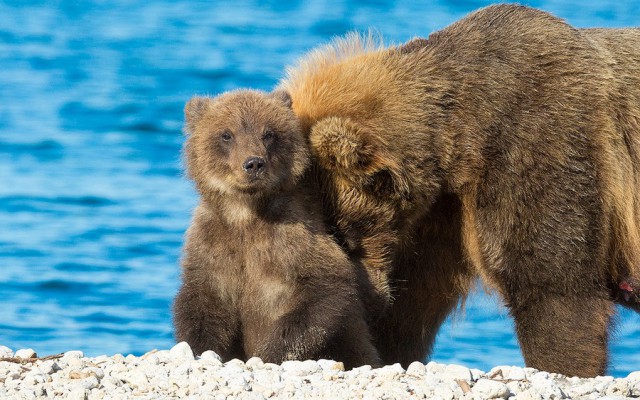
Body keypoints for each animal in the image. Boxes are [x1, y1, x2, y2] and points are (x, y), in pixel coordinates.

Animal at [278, 3, 640, 378]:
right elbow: (414, 303)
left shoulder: (541, 144)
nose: (362, 305)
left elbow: (551, 286)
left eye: (341, 231)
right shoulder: (441, 217)